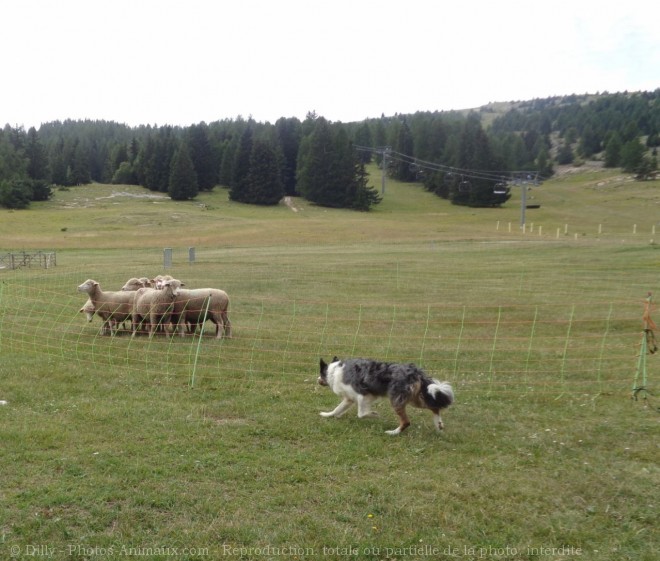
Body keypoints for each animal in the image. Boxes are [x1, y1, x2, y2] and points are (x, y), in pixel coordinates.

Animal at [318, 356, 454, 436]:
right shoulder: (349, 399)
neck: (334, 371)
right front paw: (327, 415)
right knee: (434, 407)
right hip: (413, 399)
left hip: (396, 400)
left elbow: (361, 414)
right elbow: (337, 409)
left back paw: (393, 432)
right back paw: (438, 425)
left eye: (320, 373)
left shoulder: (363, 395)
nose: (317, 379)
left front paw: (374, 414)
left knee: (406, 421)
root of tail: (416, 372)